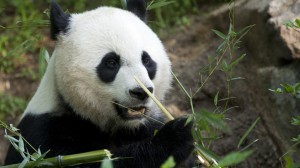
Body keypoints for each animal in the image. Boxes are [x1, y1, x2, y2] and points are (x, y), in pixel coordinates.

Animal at [4, 0, 195, 167]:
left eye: (147, 60)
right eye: (111, 62)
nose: (141, 92)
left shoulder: (146, 125)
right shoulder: (42, 136)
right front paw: (176, 136)